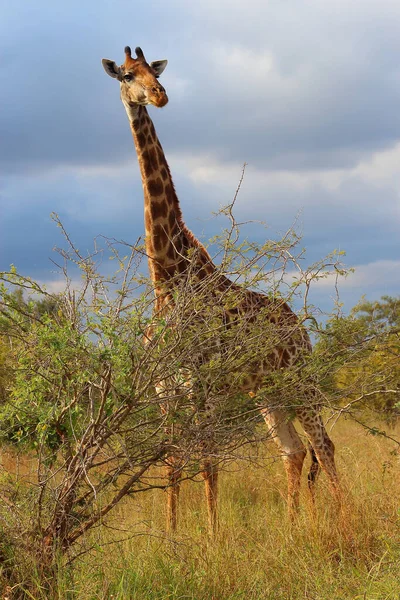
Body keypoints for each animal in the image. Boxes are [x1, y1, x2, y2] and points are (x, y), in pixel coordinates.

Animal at [101, 47, 340, 536]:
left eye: (154, 71)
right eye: (128, 75)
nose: (159, 95)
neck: (168, 281)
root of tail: (300, 330)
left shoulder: (202, 382)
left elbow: (209, 459)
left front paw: (213, 539)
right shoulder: (165, 388)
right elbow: (172, 461)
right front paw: (171, 538)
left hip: (300, 380)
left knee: (325, 447)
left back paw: (347, 523)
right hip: (267, 391)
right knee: (293, 450)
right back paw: (292, 530)